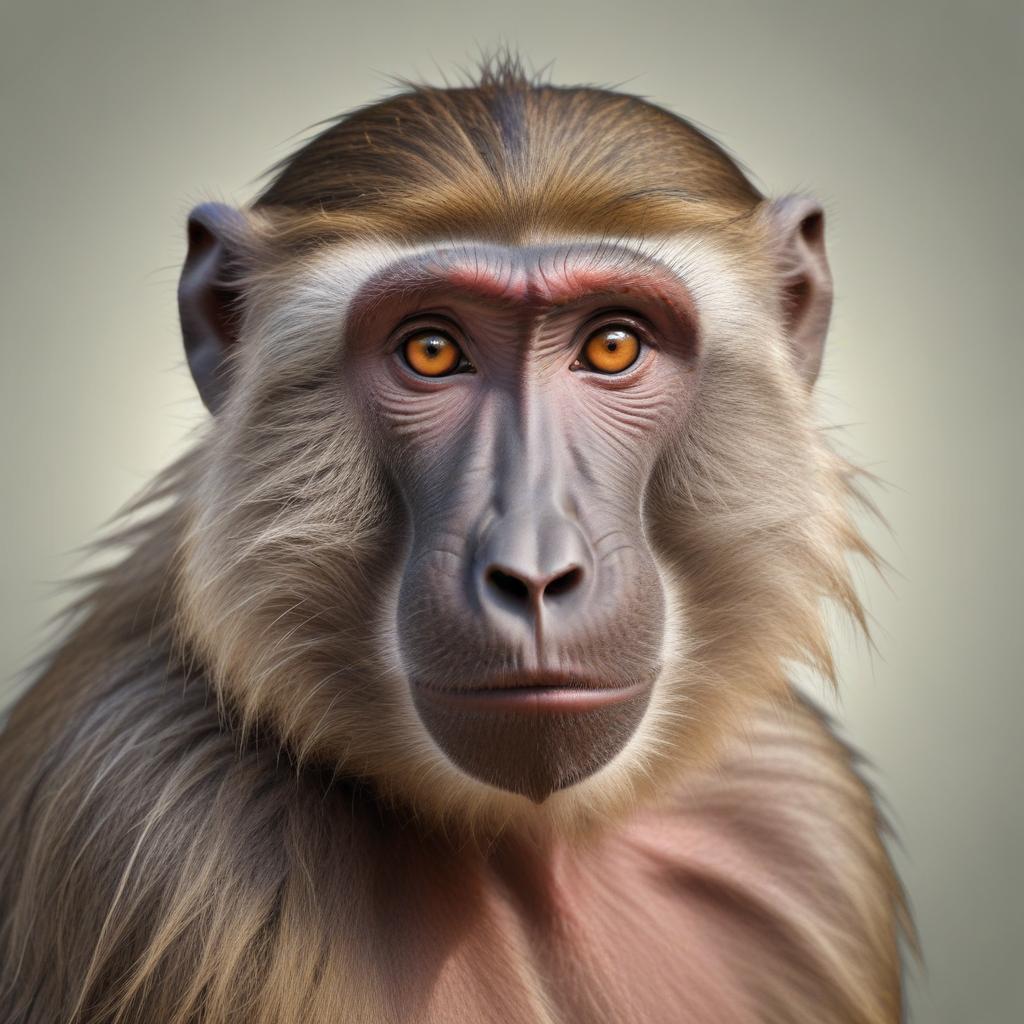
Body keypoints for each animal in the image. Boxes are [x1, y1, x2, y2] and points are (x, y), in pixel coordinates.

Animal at [0, 57, 912, 1024]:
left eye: (613, 344)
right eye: (432, 351)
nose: (535, 572)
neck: (535, 845)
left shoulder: (803, 823)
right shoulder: (154, 833)